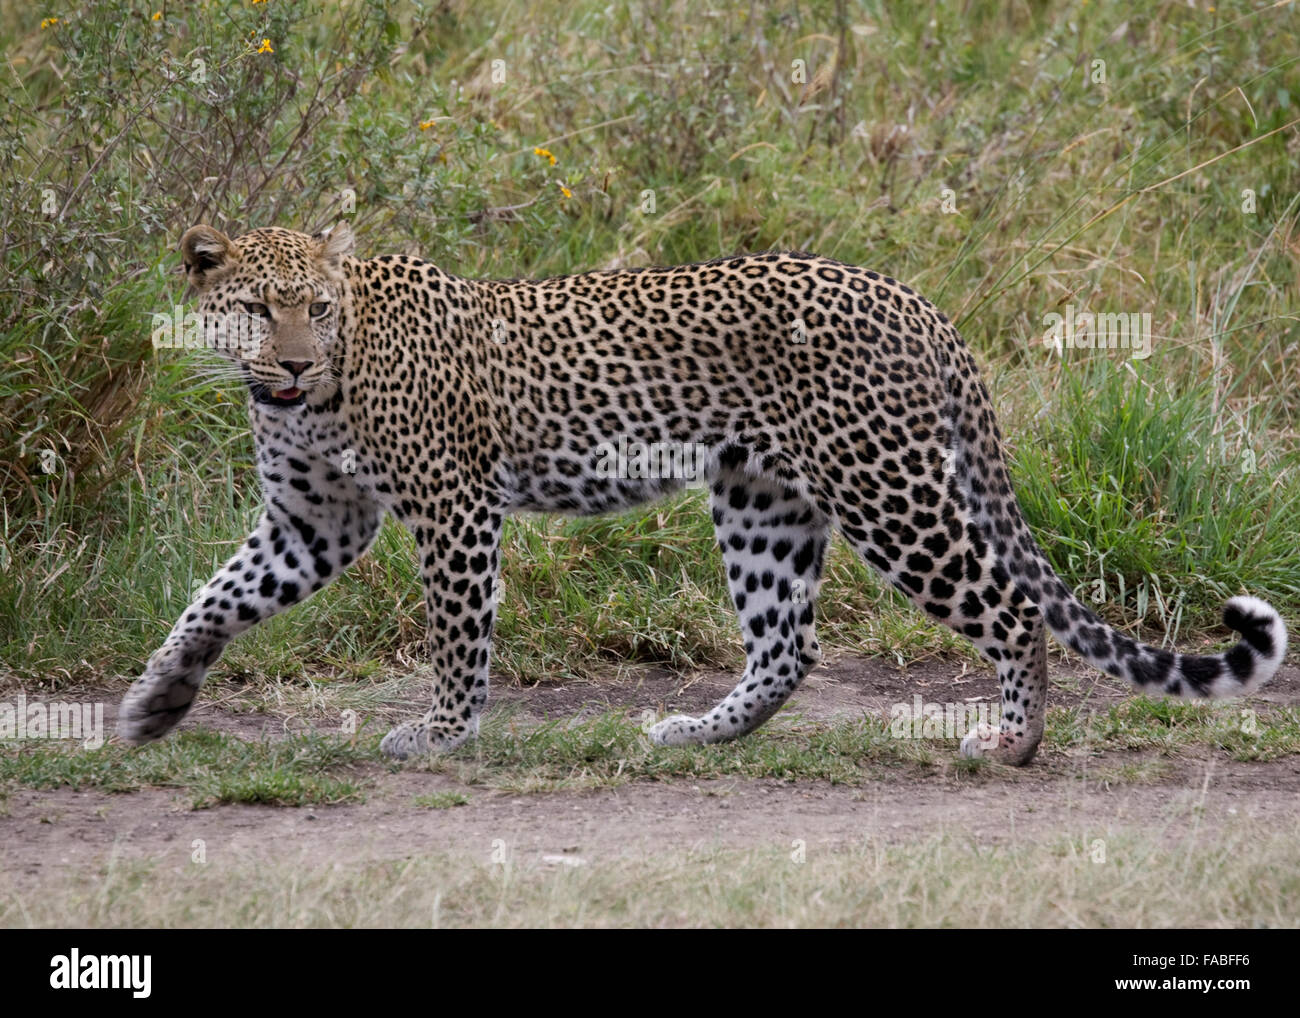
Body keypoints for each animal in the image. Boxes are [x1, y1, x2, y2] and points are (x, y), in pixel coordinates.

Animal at [117, 222, 1286, 765]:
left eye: (316, 305)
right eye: (259, 307)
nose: (296, 362)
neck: (308, 399)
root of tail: (915, 301)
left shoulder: (452, 508)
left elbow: (457, 634)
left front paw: (441, 734)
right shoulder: (314, 521)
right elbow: (213, 598)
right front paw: (157, 701)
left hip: (886, 488)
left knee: (1006, 608)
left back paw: (1012, 742)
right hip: (764, 500)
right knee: (788, 644)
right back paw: (700, 733)